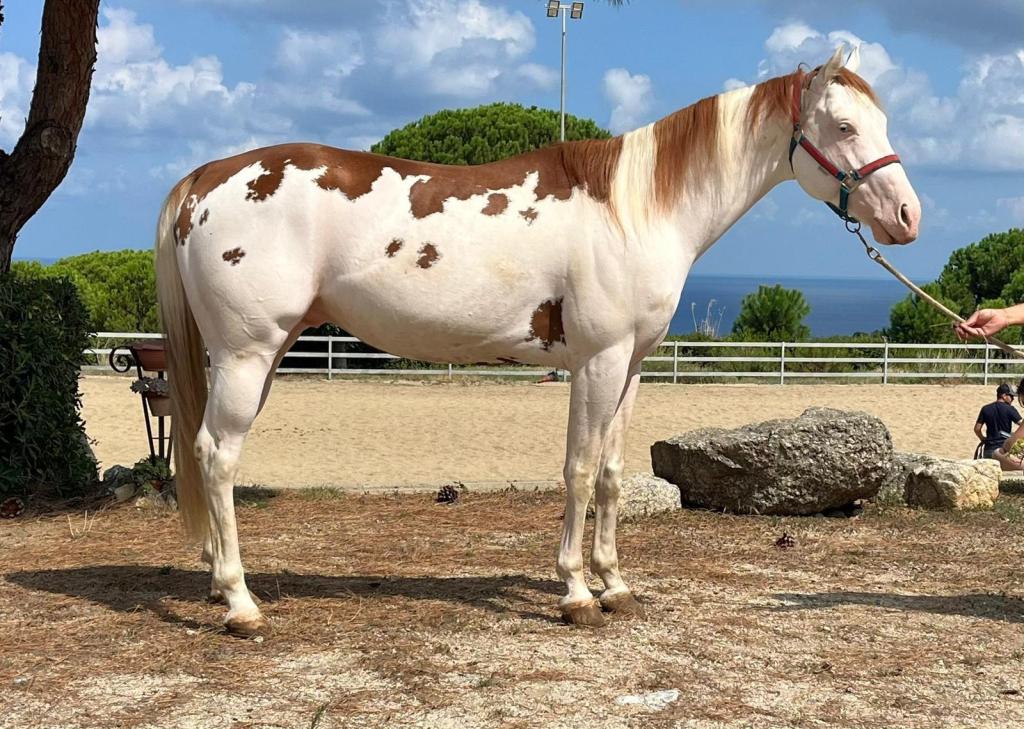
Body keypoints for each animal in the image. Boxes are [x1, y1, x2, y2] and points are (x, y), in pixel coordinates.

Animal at [156, 45, 920, 635]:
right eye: (844, 125)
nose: (908, 217)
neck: (634, 207)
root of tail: (206, 179)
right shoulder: (596, 362)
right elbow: (578, 470)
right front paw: (577, 593)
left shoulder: (630, 367)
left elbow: (611, 473)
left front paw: (616, 585)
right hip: (247, 355)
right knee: (217, 456)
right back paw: (242, 603)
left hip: (261, 357)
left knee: (205, 453)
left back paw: (221, 585)